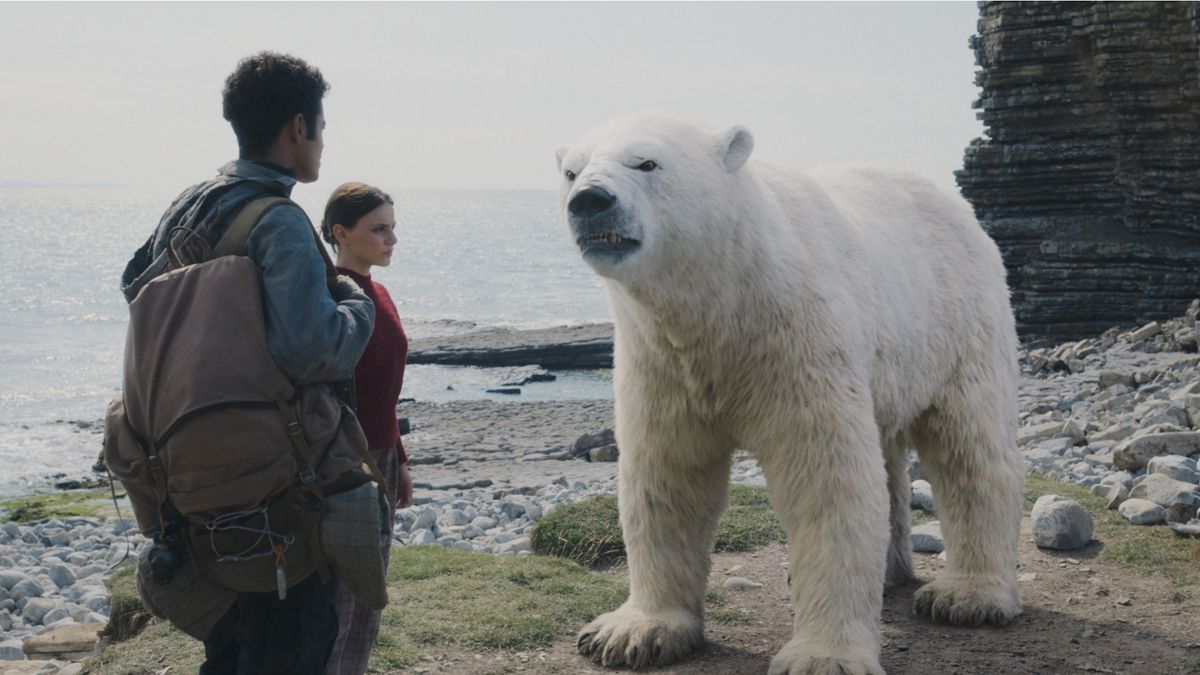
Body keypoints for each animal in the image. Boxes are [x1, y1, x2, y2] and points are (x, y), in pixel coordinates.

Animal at [552, 111, 1022, 672]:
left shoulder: (798, 342)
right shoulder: (661, 362)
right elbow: (667, 475)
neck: (725, 301)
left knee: (969, 447)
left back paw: (968, 596)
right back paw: (890, 571)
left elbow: (827, 478)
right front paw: (632, 633)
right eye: (571, 172)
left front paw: (822, 656)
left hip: (957, 324)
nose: (589, 200)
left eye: (646, 163)